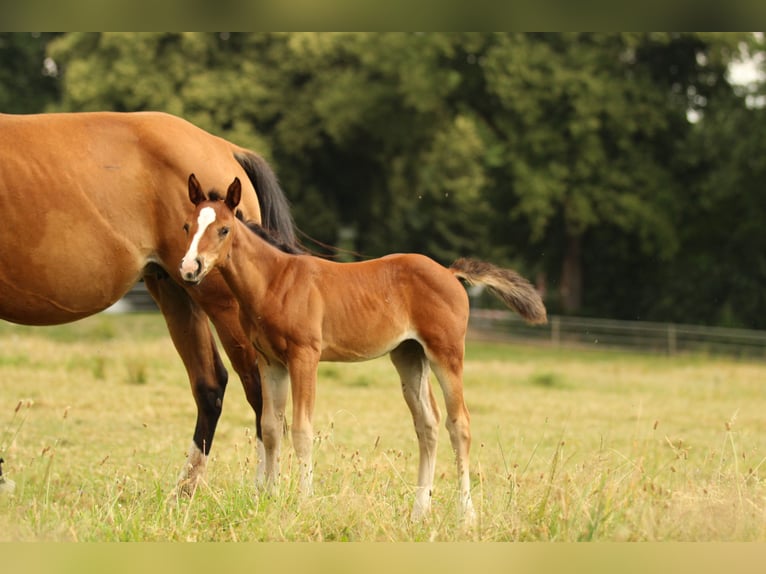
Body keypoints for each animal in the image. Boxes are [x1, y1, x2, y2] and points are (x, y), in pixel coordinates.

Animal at [0, 111, 299, 492]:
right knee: (211, 384)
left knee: (260, 389)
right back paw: (186, 488)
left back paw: (263, 486)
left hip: (223, 303)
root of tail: (226, 149)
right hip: (178, 291)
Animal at [179, 175, 547, 523]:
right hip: (410, 355)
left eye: (224, 229)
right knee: (427, 425)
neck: (275, 281)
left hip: (447, 354)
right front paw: (270, 499)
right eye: (187, 226)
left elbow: (301, 429)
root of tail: (448, 271)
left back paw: (465, 514)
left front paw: (303, 503)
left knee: (459, 425)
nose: (189, 269)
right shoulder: (270, 362)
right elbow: (271, 428)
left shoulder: (304, 356)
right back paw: (419, 512)